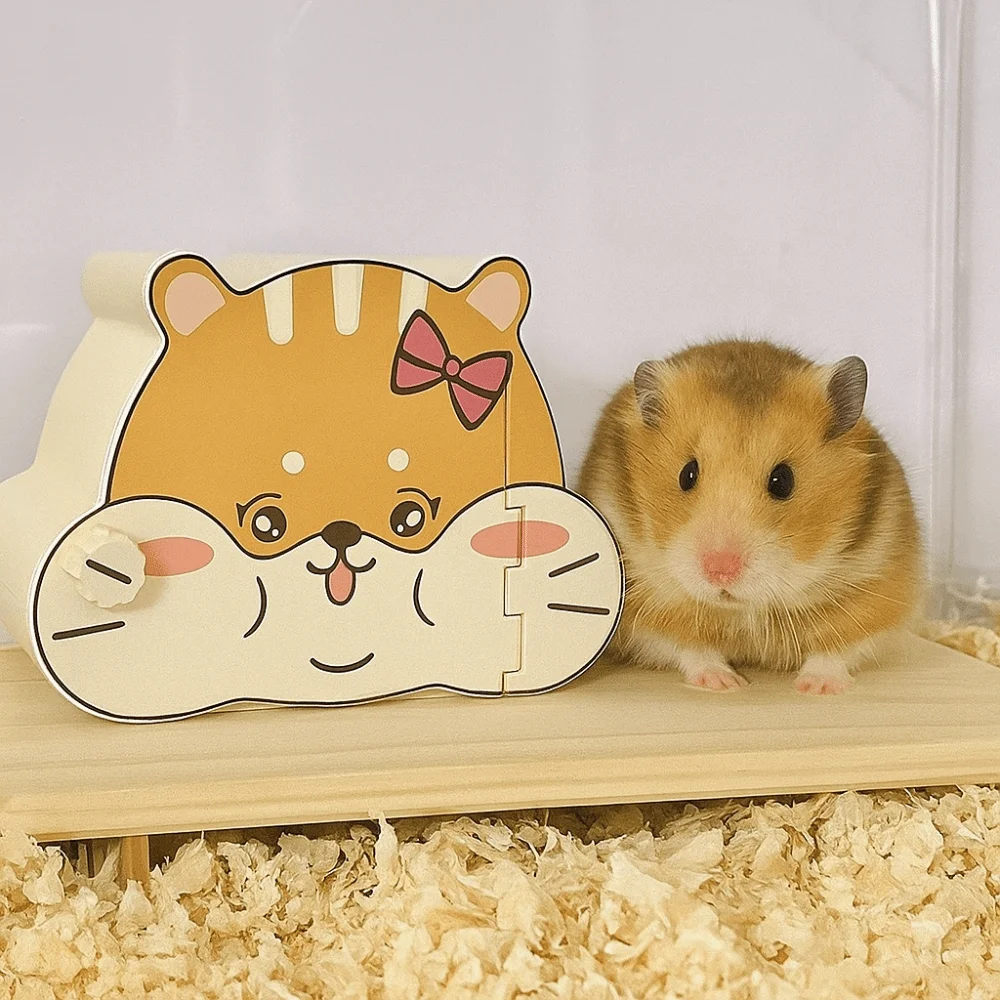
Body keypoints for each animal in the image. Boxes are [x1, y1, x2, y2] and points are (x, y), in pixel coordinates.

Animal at [577, 339, 924, 695]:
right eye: (687, 474)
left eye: (783, 480)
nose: (720, 572)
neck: (743, 610)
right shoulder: (646, 603)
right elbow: (691, 647)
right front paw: (726, 683)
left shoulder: (876, 588)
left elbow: (836, 648)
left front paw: (816, 688)